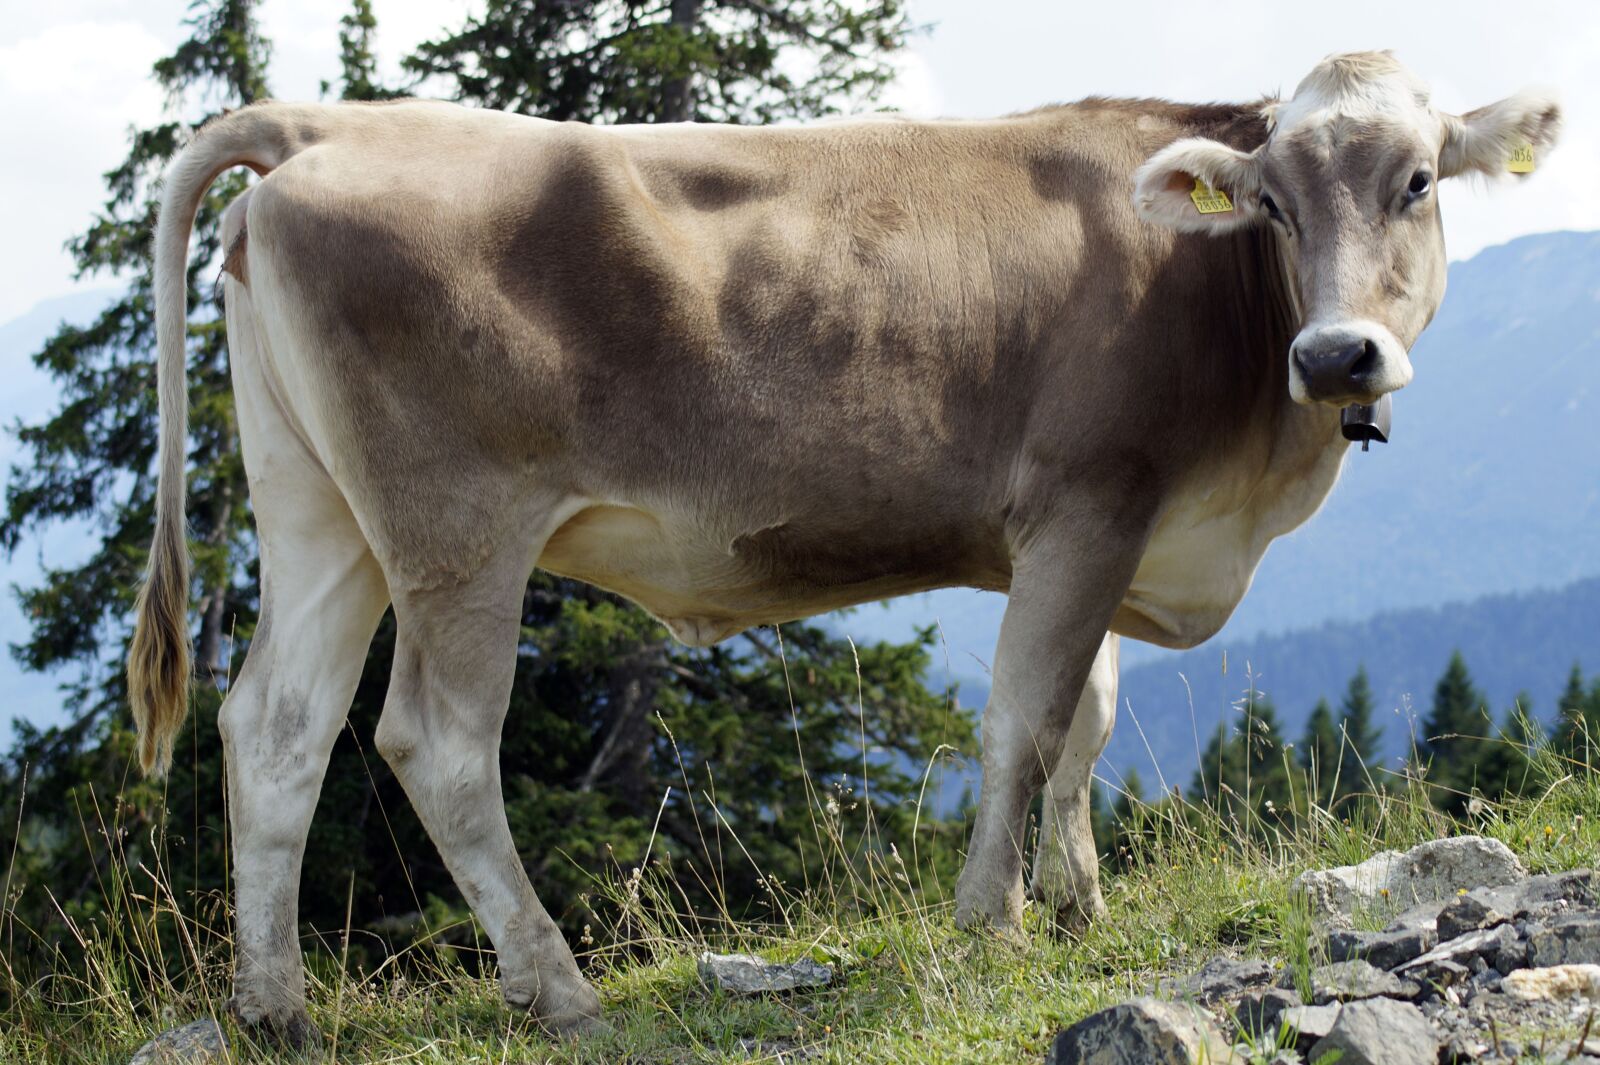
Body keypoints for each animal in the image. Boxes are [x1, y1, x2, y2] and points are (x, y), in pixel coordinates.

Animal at [127, 51, 1559, 1042]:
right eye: (1270, 201)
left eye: (1416, 181)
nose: (1336, 355)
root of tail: (327, 127)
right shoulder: (1087, 504)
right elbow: (1027, 719)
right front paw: (996, 920)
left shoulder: (1111, 528)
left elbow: (1086, 723)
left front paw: (1080, 899)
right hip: (456, 534)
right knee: (434, 741)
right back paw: (558, 989)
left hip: (319, 519)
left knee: (276, 727)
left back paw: (275, 1008)